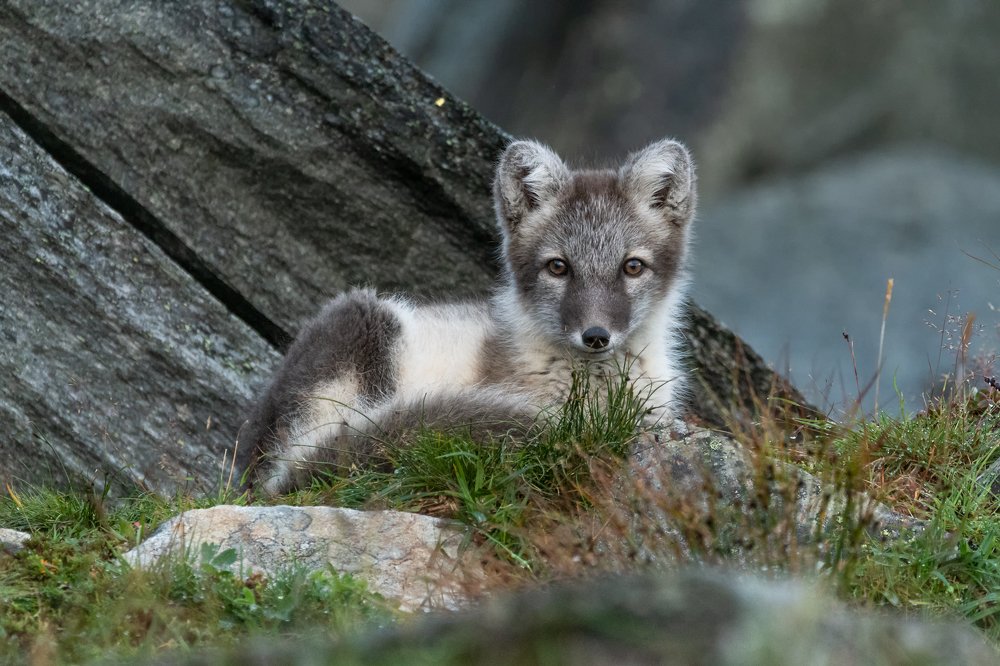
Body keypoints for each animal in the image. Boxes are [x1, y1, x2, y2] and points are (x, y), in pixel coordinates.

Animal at [238, 137, 697, 495]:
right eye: (558, 267)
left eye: (632, 266)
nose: (596, 335)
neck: (596, 390)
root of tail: (255, 477)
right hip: (365, 321)